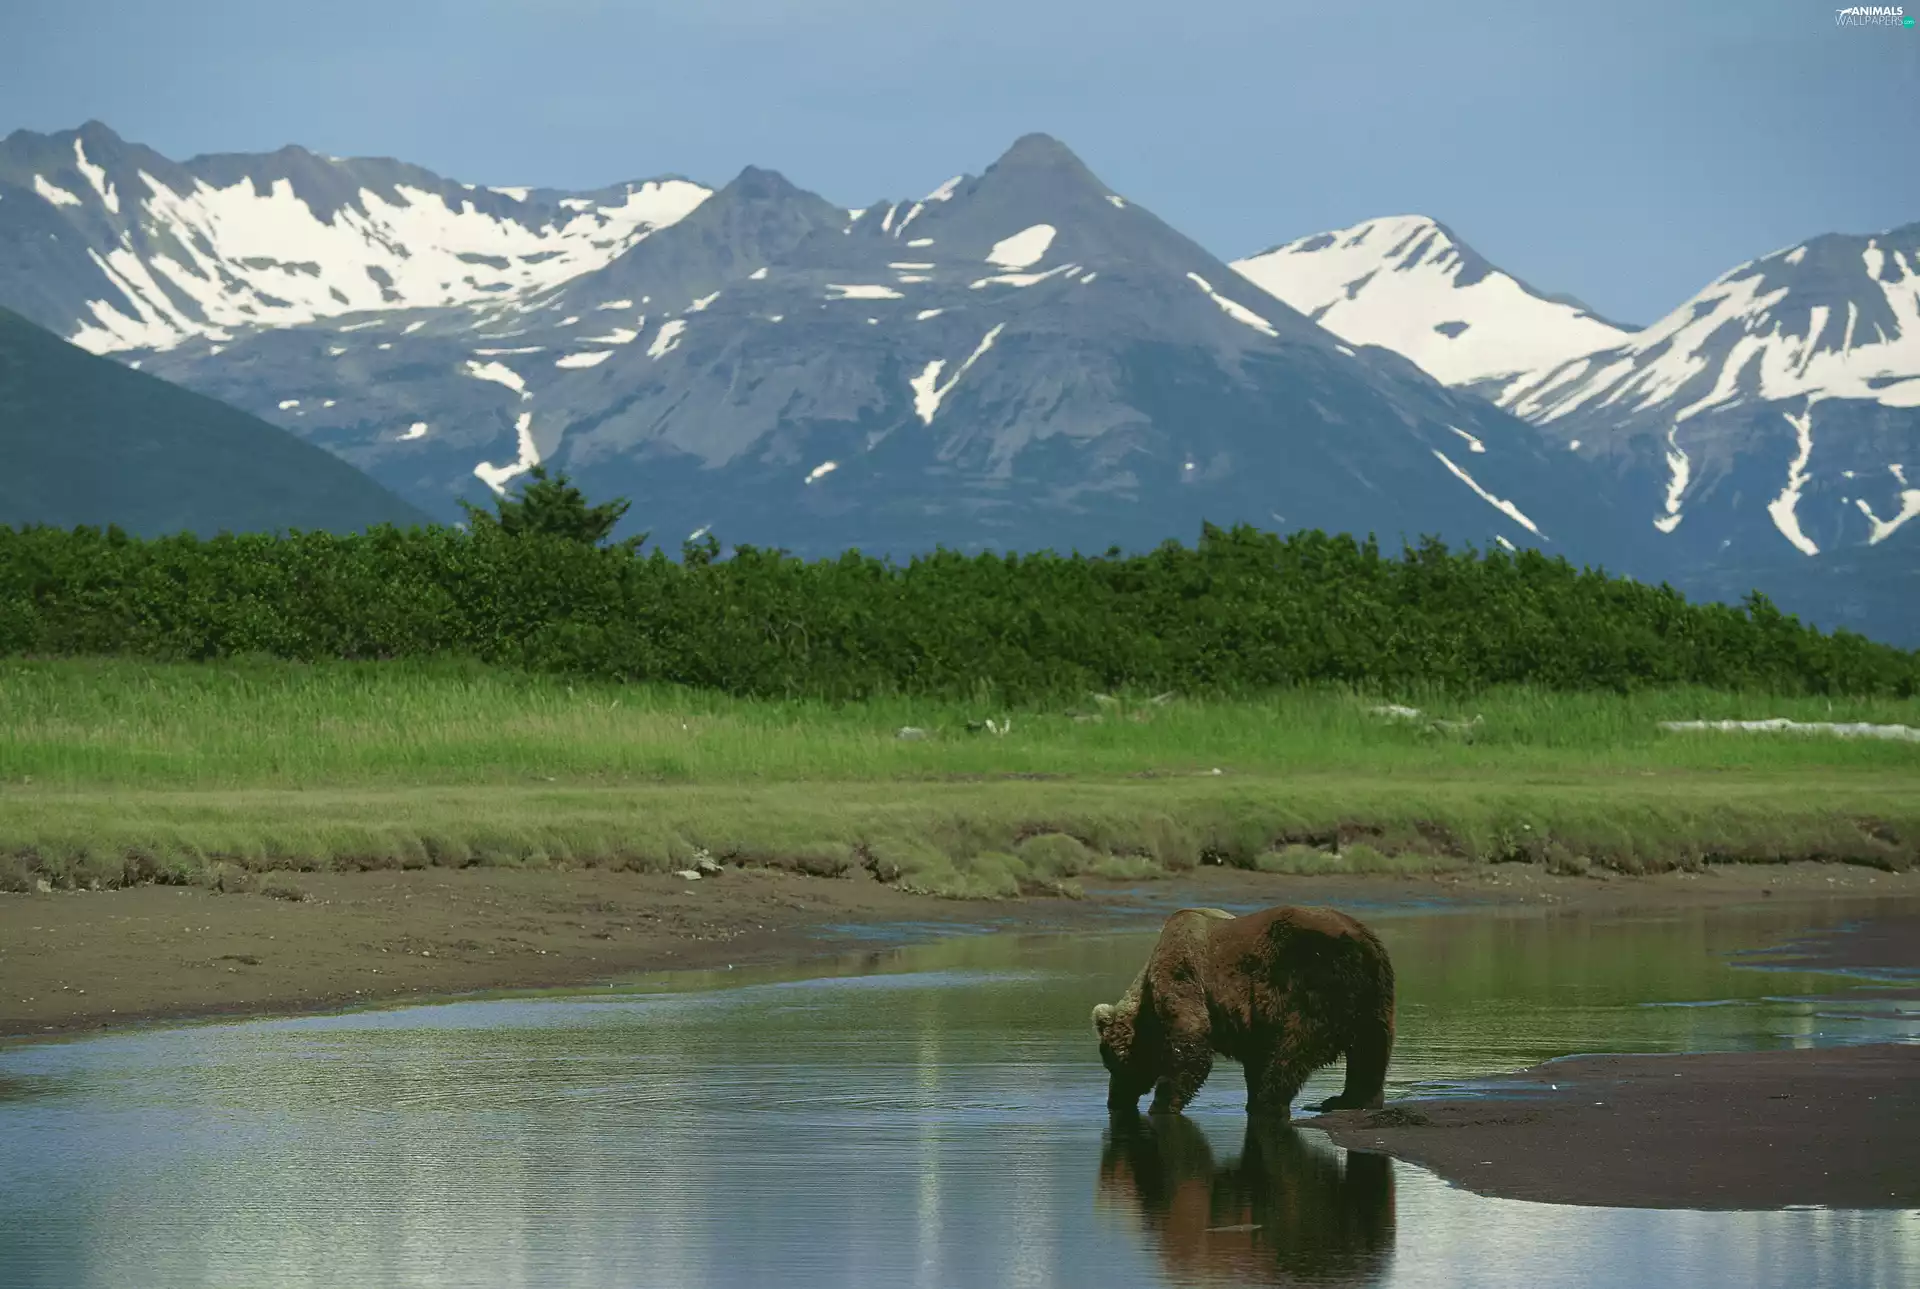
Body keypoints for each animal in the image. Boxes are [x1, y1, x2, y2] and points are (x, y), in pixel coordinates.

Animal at [1091, 904, 1395, 1116]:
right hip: (1376, 994)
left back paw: (1270, 1103)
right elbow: (1255, 1057)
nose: (1113, 1101)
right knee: (1371, 1048)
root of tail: (1361, 942)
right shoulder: (1254, 1018)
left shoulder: (1183, 975)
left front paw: (1161, 1105)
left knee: (1295, 1047)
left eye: (1112, 1061)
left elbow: (1191, 1043)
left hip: (1309, 981)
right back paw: (1352, 1099)